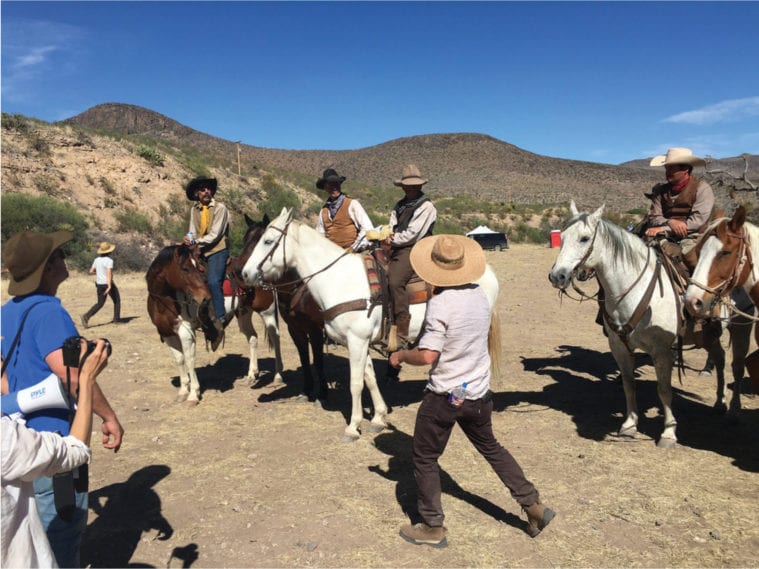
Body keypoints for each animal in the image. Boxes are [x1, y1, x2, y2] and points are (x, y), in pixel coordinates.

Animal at [230, 213, 328, 404]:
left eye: (263, 240)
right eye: (245, 239)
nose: (239, 272)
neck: (298, 287)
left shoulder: (315, 330)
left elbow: (318, 360)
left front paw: (322, 393)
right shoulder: (295, 329)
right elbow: (304, 358)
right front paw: (306, 390)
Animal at [548, 202, 732, 446]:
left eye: (584, 238)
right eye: (562, 237)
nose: (557, 276)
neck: (632, 291)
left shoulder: (661, 351)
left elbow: (664, 390)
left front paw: (668, 433)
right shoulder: (619, 347)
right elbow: (629, 384)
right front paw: (629, 424)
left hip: (713, 332)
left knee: (721, 359)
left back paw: (720, 402)